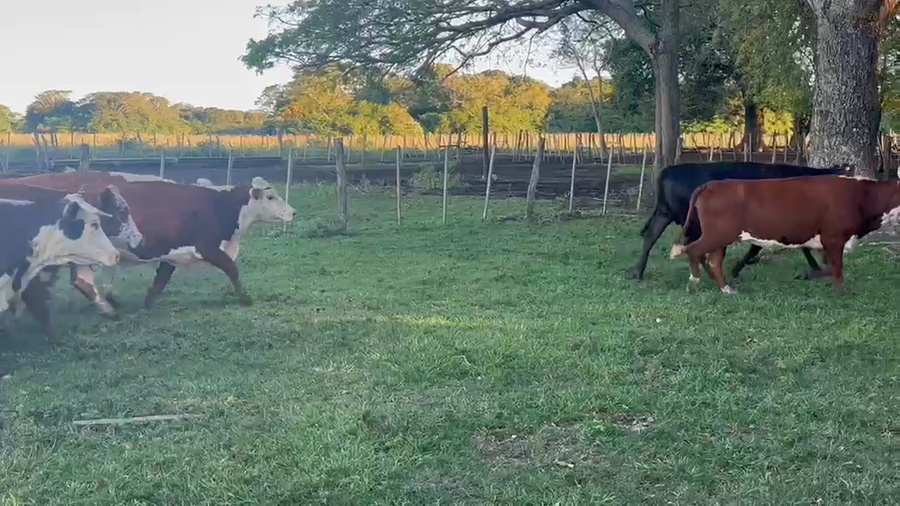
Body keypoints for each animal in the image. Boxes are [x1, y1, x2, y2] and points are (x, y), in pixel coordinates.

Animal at [9, 173, 296, 312]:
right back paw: (106, 306)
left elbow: (160, 281)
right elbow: (232, 269)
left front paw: (147, 303)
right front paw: (245, 298)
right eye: (270, 196)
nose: (292, 212)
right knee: (81, 281)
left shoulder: (173, 254)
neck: (217, 204)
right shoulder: (208, 247)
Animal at [625, 161, 852, 281]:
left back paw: (638, 272)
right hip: (691, 222)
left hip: (665, 213)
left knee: (651, 235)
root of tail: (667, 170)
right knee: (692, 246)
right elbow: (757, 248)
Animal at [669, 176, 900, 294]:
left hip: (721, 237)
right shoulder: (833, 238)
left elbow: (827, 267)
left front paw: (810, 275)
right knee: (693, 250)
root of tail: (712, 184)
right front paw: (841, 293)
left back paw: (726, 289)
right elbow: (837, 269)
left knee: (713, 260)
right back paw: (694, 282)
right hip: (718, 234)